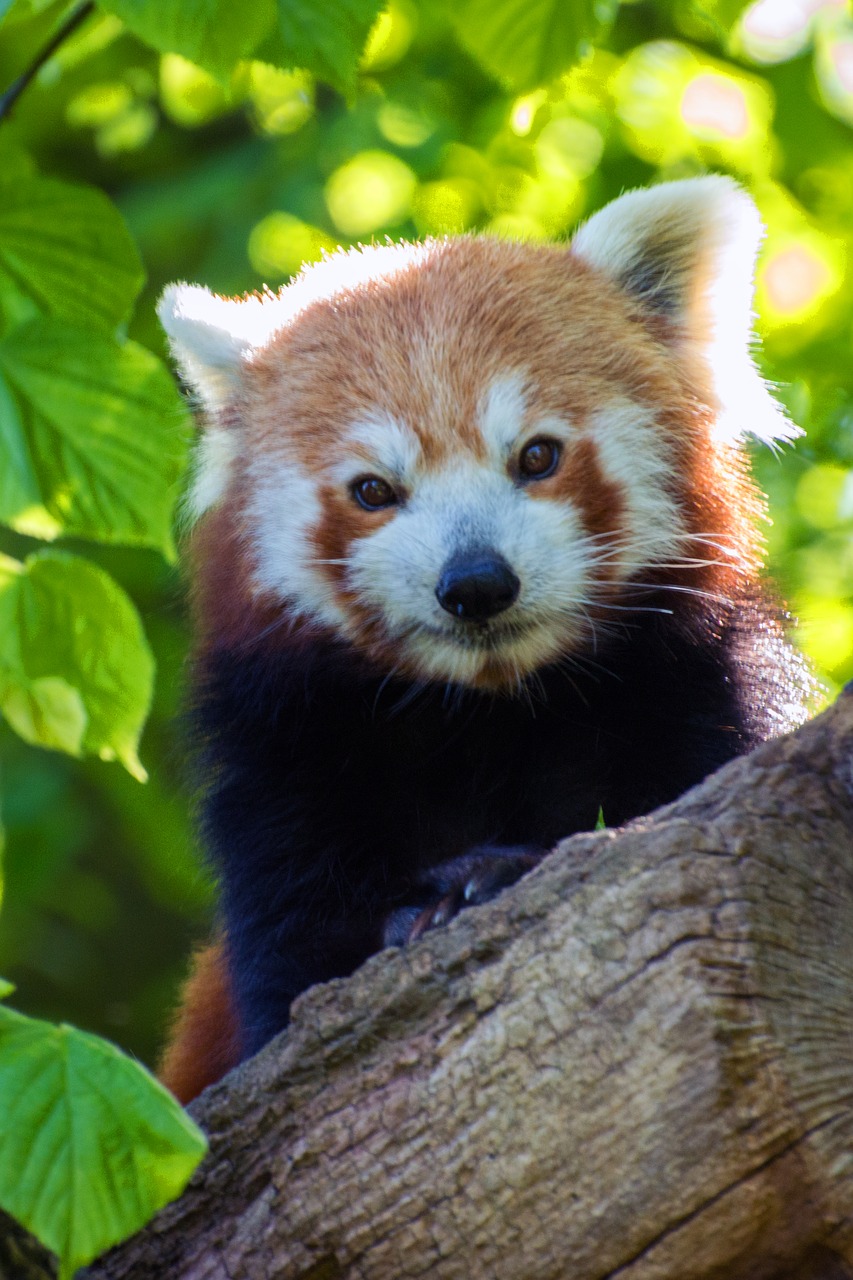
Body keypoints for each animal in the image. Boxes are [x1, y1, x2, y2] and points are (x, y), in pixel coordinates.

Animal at [154, 175, 809, 1105]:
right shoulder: (283, 764)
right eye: (373, 490)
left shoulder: (705, 687)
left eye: (536, 456)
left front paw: (486, 875)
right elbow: (289, 961)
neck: (487, 714)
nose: (474, 584)